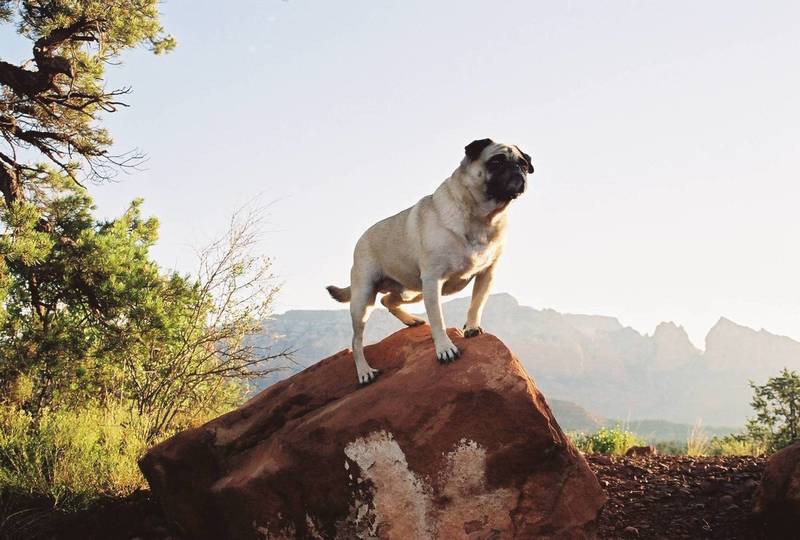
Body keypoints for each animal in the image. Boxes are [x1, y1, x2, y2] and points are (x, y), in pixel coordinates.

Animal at [324, 139, 532, 384]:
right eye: (497, 161)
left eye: (523, 164)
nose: (518, 170)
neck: (483, 217)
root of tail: (361, 239)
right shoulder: (433, 280)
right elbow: (438, 320)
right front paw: (445, 349)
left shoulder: (486, 274)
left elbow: (476, 303)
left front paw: (471, 327)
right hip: (364, 297)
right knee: (356, 340)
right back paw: (365, 372)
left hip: (412, 291)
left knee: (388, 300)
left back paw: (411, 321)